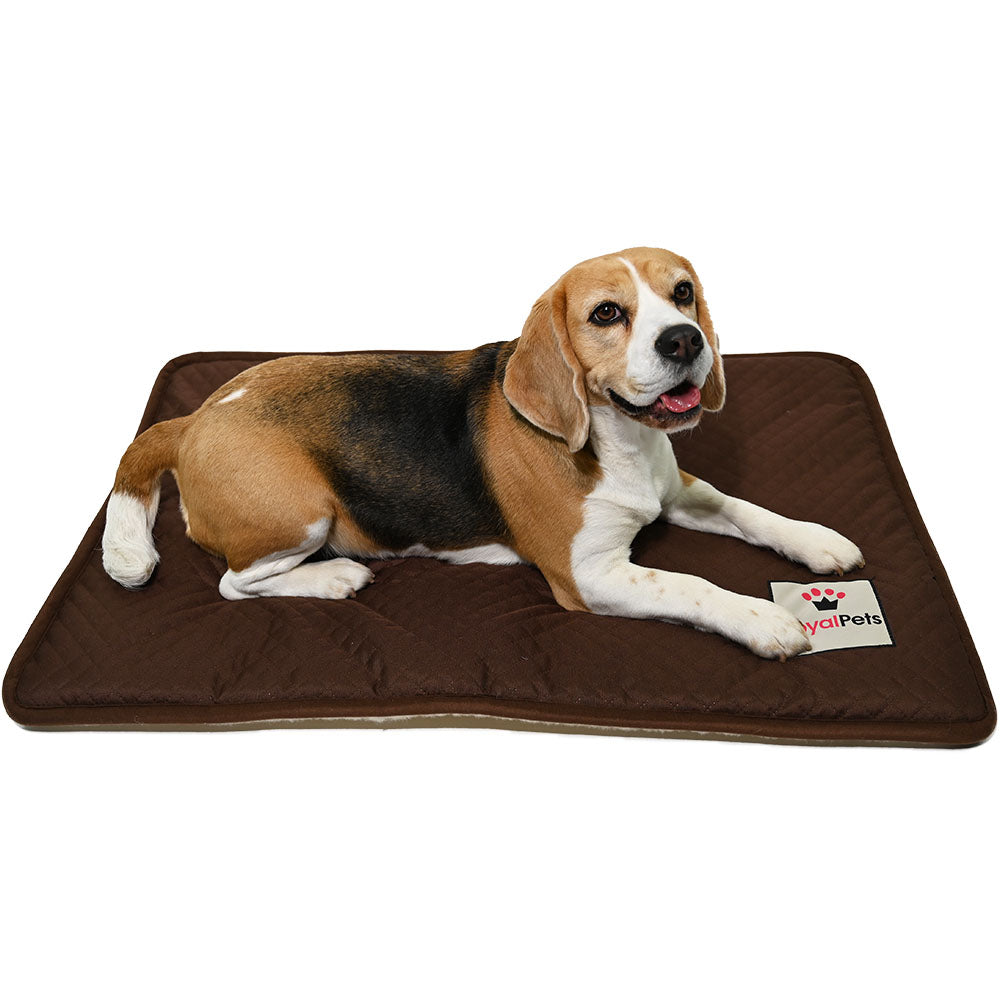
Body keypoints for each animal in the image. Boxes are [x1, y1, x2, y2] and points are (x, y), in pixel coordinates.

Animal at [102, 247, 864, 658]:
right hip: (300, 513)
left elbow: (747, 509)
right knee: (235, 585)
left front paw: (816, 542)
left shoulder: (677, 492)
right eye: (607, 314)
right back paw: (331, 578)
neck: (621, 440)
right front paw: (763, 618)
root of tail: (195, 418)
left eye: (683, 294)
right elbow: (692, 585)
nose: (685, 339)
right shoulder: (590, 577)